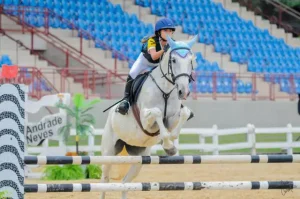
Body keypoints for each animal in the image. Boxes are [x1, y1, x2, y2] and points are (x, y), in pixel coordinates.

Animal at [100, 35, 197, 198]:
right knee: (104, 180)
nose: (183, 92)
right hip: (109, 152)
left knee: (125, 182)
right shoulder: (145, 121)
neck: (165, 90)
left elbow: (184, 113)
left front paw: (170, 146)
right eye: (173, 60)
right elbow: (157, 112)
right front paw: (168, 144)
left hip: (139, 158)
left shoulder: (172, 119)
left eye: (190, 61)